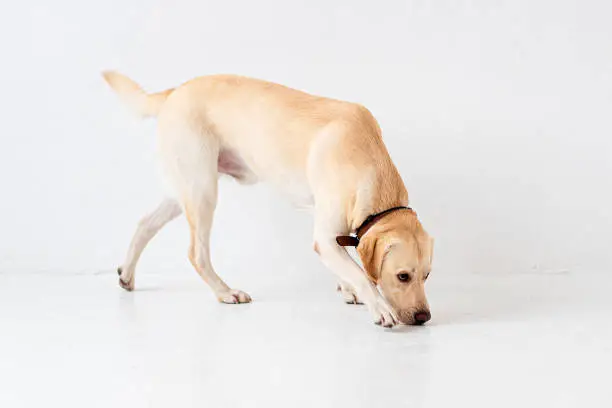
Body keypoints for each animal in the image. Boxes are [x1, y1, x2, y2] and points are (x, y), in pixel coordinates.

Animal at [103, 71, 432, 328]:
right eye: (403, 276)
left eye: (427, 275)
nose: (424, 317)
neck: (369, 163)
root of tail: (176, 90)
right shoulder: (325, 237)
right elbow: (360, 273)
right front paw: (378, 306)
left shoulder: (328, 226)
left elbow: (348, 264)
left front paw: (347, 287)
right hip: (203, 190)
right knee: (196, 253)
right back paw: (225, 292)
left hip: (183, 189)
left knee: (145, 222)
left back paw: (127, 274)